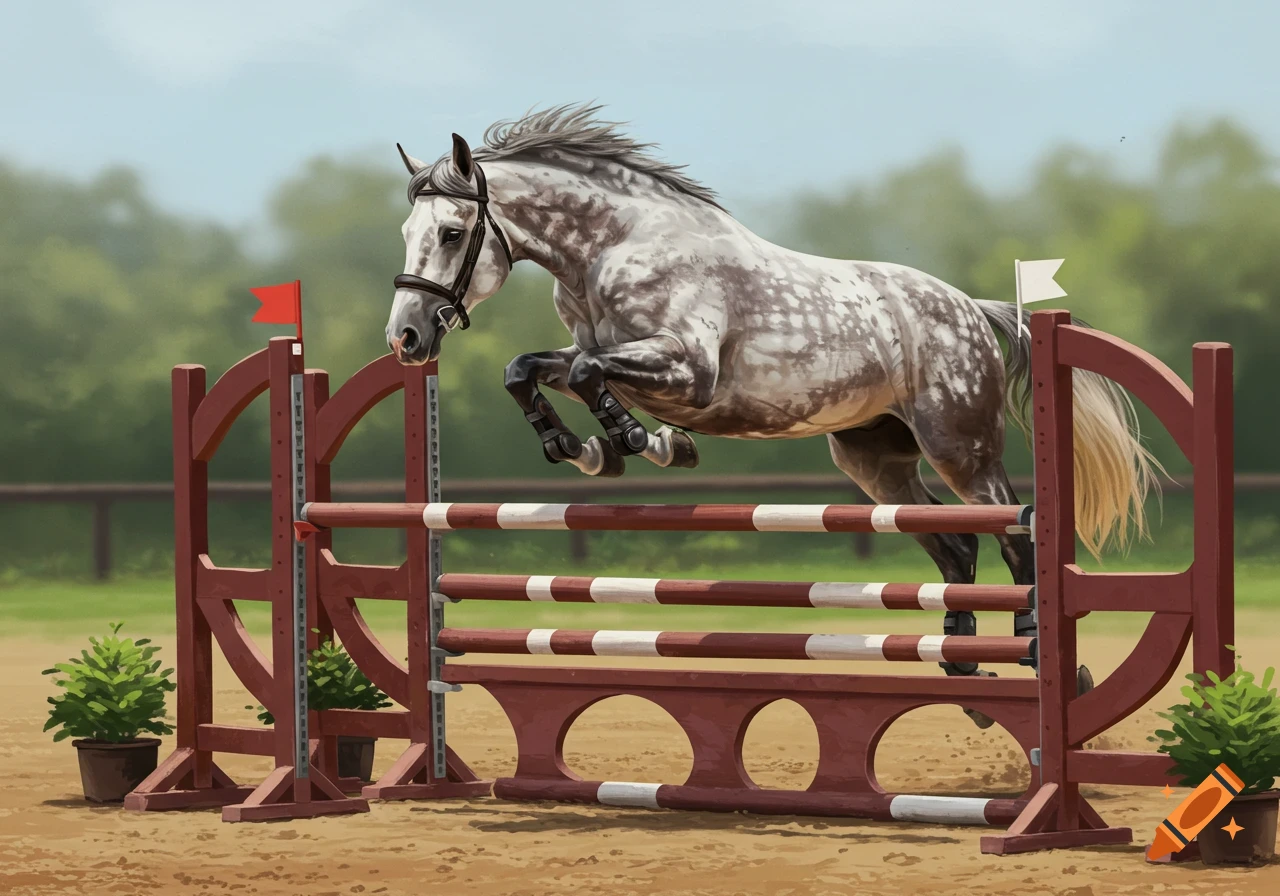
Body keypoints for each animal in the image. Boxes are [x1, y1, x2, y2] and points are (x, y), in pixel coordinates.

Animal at [385, 104, 1157, 726]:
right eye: (407, 230)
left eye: (451, 232)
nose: (406, 338)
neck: (611, 246)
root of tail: (973, 307)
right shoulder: (597, 350)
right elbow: (529, 370)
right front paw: (588, 449)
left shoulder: (687, 372)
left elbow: (585, 373)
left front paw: (641, 441)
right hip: (873, 459)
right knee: (956, 547)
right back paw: (963, 669)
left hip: (960, 448)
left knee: (1014, 539)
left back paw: (1041, 658)